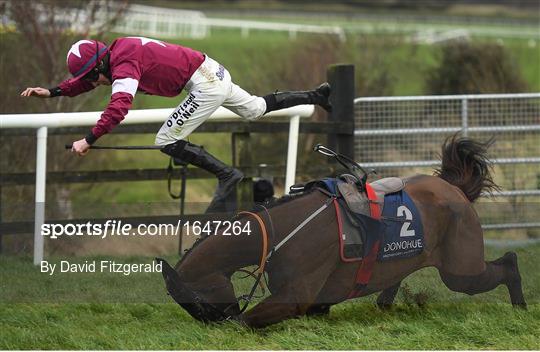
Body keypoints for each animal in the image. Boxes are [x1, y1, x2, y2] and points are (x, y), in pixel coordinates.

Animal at [158, 136, 524, 328]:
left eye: (197, 304)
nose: (212, 323)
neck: (281, 231)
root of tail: (454, 188)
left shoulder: (296, 295)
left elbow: (247, 321)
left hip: (461, 269)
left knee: (505, 264)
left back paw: (520, 303)